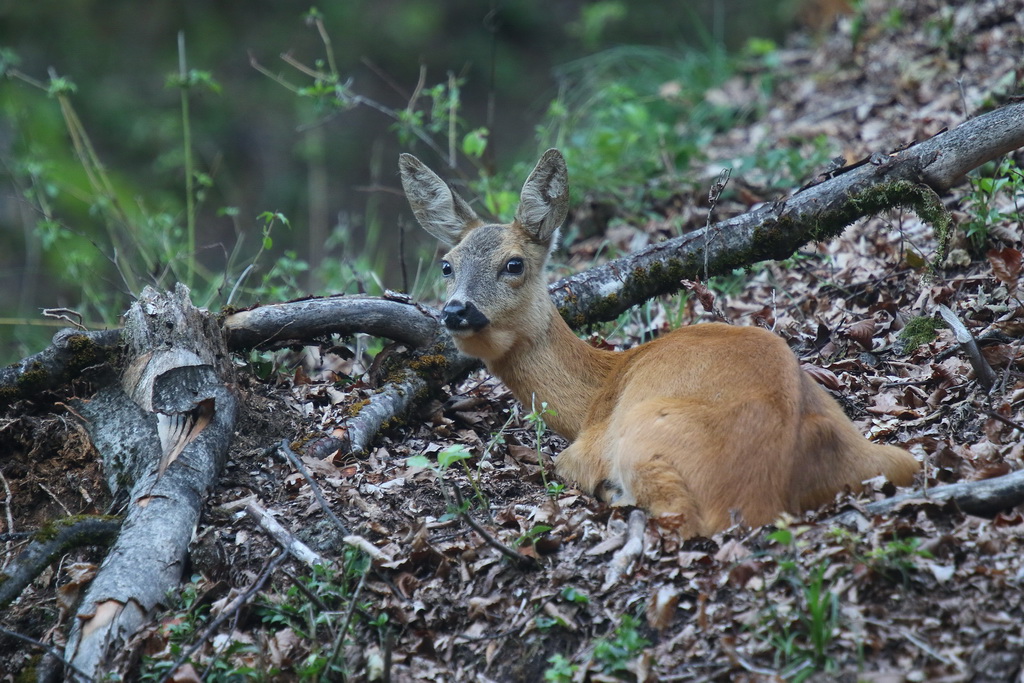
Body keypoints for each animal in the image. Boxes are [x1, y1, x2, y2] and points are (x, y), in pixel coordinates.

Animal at [397, 149, 921, 540]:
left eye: (513, 264)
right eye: (446, 265)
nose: (456, 311)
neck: (597, 391)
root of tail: (762, 496)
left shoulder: (586, 447)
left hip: (642, 437)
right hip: (889, 459)